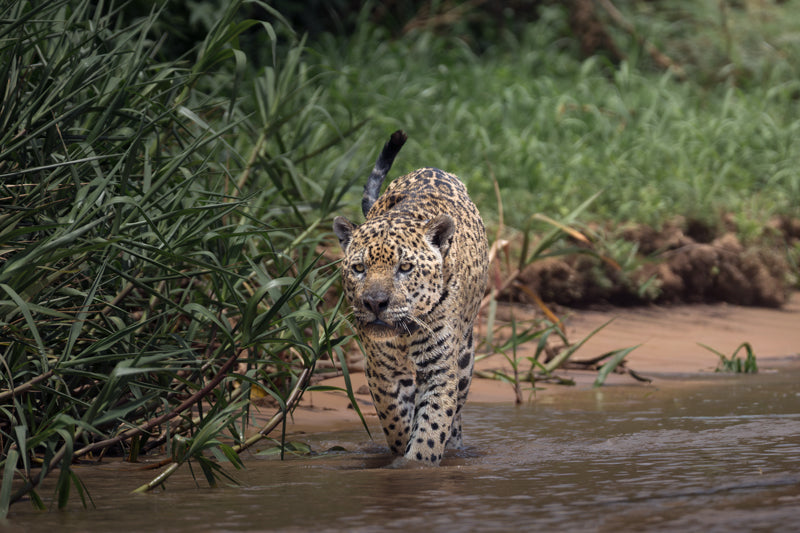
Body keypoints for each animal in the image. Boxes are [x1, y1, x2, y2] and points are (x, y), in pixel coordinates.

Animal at [333, 130, 489, 467]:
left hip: (465, 357)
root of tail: (432, 167)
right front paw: (401, 454)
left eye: (404, 268)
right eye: (359, 268)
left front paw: (415, 464)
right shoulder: (381, 371)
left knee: (457, 412)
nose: (375, 303)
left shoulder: (440, 370)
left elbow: (432, 426)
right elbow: (394, 418)